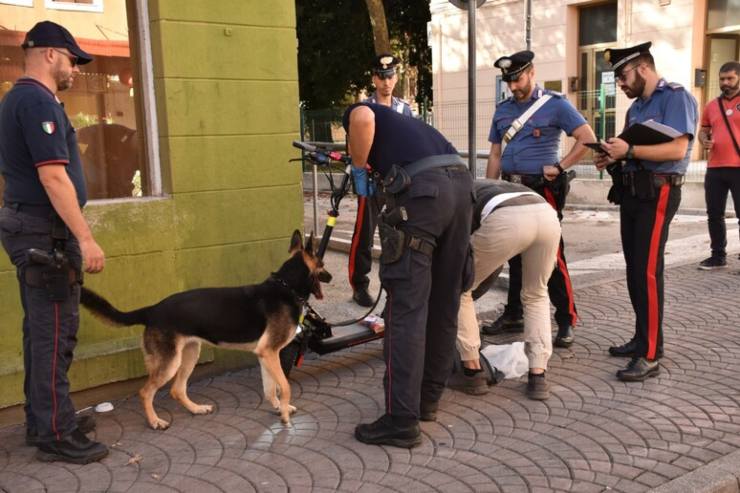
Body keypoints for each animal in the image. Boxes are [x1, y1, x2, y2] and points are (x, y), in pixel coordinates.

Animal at [79, 230, 330, 426]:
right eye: (322, 265)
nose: (331, 276)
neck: (285, 287)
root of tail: (152, 309)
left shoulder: (265, 355)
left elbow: (271, 389)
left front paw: (279, 408)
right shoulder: (269, 353)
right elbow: (285, 386)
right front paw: (285, 415)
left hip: (190, 354)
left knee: (177, 390)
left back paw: (196, 409)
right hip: (170, 363)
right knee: (145, 392)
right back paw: (155, 421)